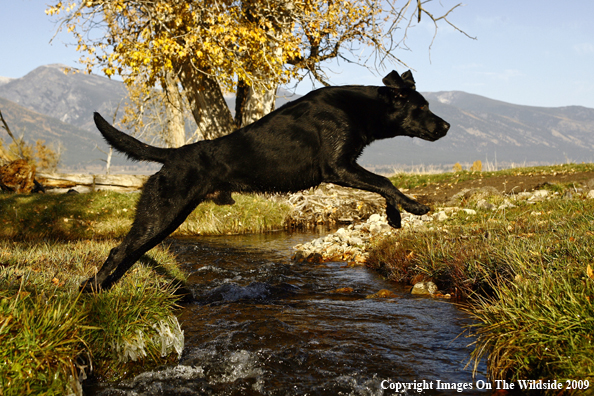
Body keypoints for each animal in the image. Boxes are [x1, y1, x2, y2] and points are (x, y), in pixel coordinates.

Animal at [81, 70, 446, 290]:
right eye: (421, 107)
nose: (447, 126)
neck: (359, 108)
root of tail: (173, 155)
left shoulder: (347, 168)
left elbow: (383, 186)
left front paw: (395, 216)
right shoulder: (338, 167)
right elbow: (385, 181)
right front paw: (413, 206)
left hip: (164, 220)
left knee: (126, 251)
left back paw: (105, 287)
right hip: (160, 214)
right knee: (119, 250)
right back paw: (93, 288)